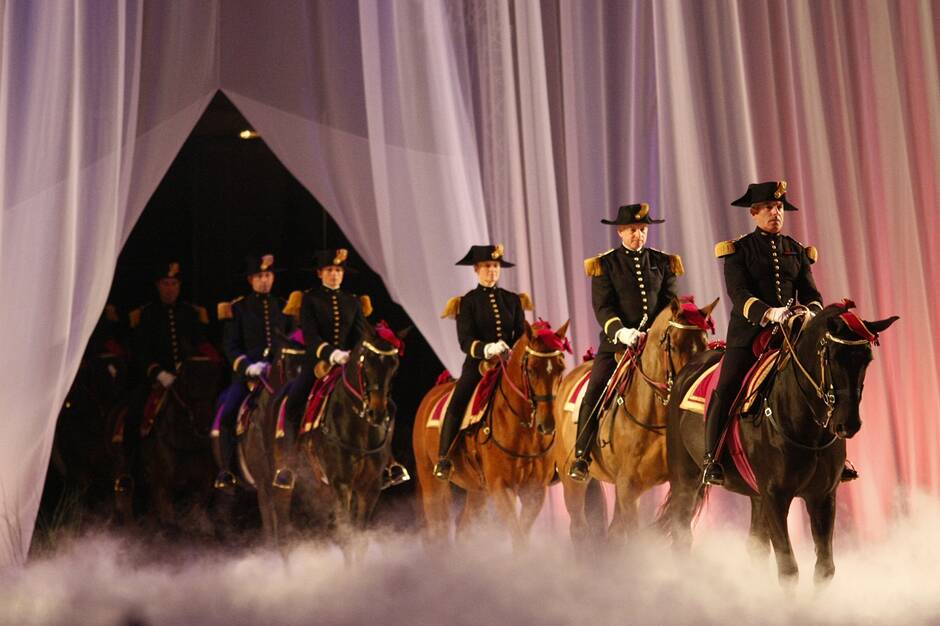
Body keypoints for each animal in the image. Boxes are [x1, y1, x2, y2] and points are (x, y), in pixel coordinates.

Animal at [414, 320, 572, 548]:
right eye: (532, 369)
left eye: (561, 368)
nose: (548, 425)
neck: (524, 430)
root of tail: (430, 395)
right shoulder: (500, 487)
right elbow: (518, 536)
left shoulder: (535, 490)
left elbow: (522, 534)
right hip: (431, 483)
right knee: (439, 530)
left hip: (477, 491)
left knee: (463, 528)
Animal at [552, 298, 720, 544]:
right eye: (673, 345)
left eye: (706, 344)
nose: (687, 383)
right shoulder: (628, 488)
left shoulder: (680, 480)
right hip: (572, 482)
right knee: (579, 528)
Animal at [656, 302, 900, 584]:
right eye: (832, 356)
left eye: (866, 359)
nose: (848, 424)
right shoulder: (776, 497)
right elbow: (788, 569)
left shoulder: (822, 496)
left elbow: (824, 569)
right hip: (686, 480)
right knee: (682, 535)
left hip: (755, 494)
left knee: (755, 546)